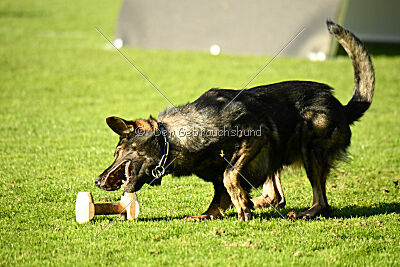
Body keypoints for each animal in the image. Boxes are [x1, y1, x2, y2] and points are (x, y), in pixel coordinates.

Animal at [94, 21, 376, 222]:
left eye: (118, 152)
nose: (97, 181)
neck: (172, 140)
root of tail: (340, 106)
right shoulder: (220, 172)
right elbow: (219, 195)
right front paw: (211, 214)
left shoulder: (255, 138)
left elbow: (229, 176)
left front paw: (242, 206)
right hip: (279, 154)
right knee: (275, 195)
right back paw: (260, 203)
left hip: (309, 148)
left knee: (322, 202)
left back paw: (306, 212)